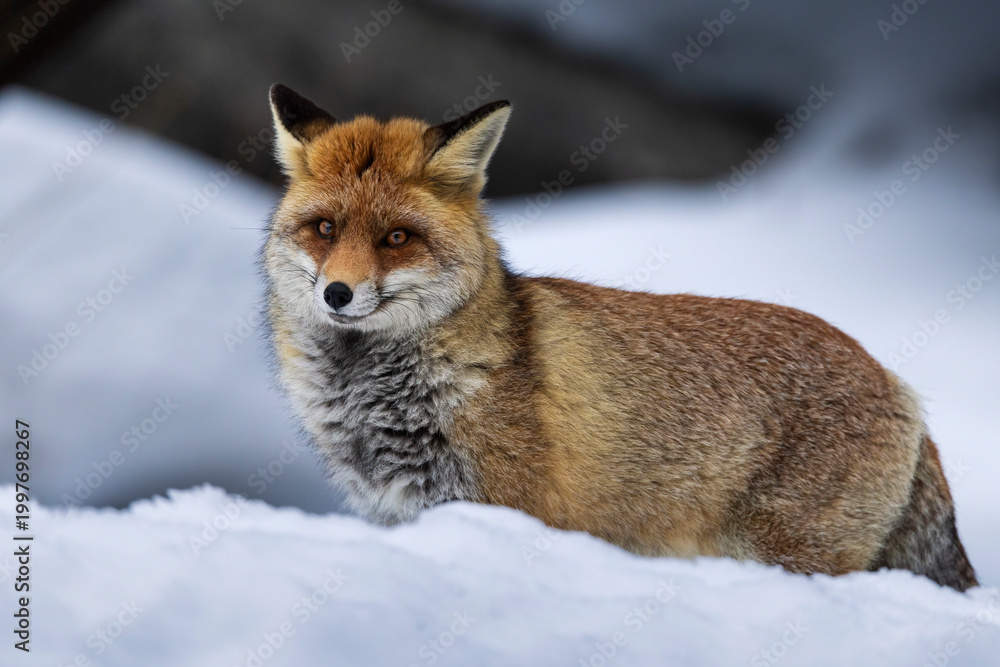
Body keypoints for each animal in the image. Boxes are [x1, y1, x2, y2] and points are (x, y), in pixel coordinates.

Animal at [262, 83, 977, 592]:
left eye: (396, 237)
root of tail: (899, 384)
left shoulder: (506, 508)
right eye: (325, 229)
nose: (337, 294)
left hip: (787, 556)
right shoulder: (400, 512)